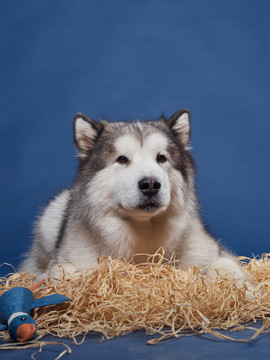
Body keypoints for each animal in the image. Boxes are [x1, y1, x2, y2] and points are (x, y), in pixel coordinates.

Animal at [19, 108, 247, 282]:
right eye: (122, 159)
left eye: (161, 158)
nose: (151, 184)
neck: (142, 232)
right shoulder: (66, 260)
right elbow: (63, 270)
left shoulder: (212, 252)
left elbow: (224, 266)